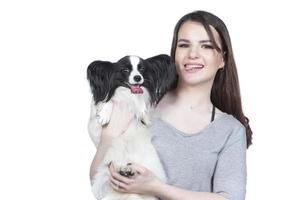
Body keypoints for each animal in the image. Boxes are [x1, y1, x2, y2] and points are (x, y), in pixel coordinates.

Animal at [86, 54, 176, 199]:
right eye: (125, 70)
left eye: (142, 69)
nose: (138, 77)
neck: (128, 97)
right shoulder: (95, 126)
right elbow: (110, 101)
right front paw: (105, 114)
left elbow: (143, 108)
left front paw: (141, 110)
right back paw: (123, 170)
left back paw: (128, 170)